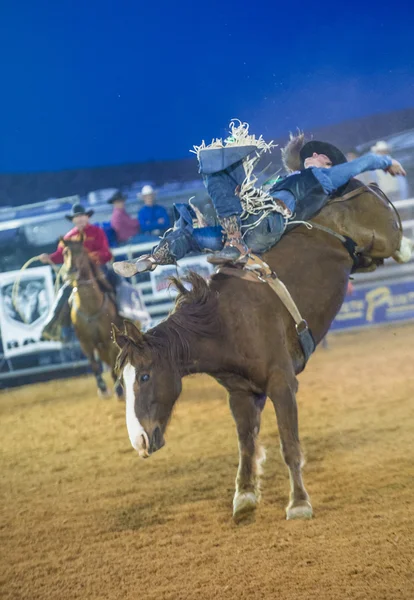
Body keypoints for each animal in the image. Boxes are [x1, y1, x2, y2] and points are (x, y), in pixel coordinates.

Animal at [61, 238, 123, 398]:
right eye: (65, 253)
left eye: (81, 251)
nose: (71, 271)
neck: (90, 308)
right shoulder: (85, 342)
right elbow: (94, 365)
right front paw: (102, 388)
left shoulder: (109, 340)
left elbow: (113, 362)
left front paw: (118, 390)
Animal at [110, 182, 410, 520]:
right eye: (122, 383)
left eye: (145, 377)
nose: (139, 440)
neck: (224, 323)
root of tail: (353, 186)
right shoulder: (240, 393)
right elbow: (246, 444)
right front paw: (245, 495)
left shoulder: (282, 384)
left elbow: (289, 445)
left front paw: (299, 503)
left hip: (380, 235)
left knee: (394, 240)